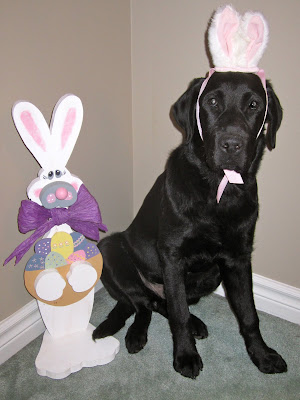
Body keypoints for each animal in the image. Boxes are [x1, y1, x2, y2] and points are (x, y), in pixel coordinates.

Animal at [92, 72, 288, 378]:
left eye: (254, 105)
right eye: (212, 102)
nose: (232, 145)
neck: (218, 191)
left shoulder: (238, 258)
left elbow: (249, 314)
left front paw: (262, 354)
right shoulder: (172, 256)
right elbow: (179, 314)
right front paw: (185, 355)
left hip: (212, 273)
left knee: (159, 303)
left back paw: (195, 323)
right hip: (110, 248)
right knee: (143, 304)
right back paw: (137, 334)